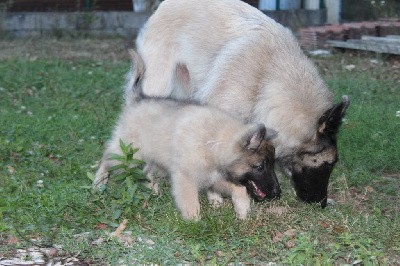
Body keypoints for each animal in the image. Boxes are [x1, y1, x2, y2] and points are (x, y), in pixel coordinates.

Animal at [134, 0, 346, 208]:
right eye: (329, 164)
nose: (322, 203)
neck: (268, 79)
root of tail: (163, 5)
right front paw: (215, 197)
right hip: (156, 86)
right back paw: (150, 184)